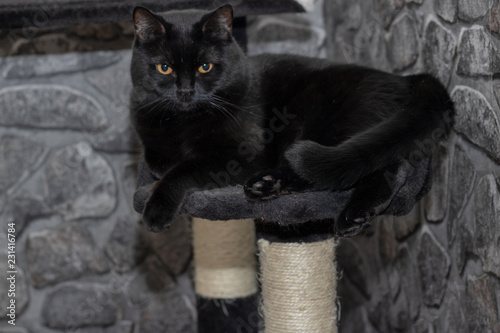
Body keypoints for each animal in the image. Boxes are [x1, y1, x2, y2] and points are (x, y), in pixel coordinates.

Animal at [129, 5, 454, 233]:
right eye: (164, 68)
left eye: (205, 67)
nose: (185, 91)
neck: (181, 123)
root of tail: (407, 79)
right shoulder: (153, 147)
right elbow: (161, 163)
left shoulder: (240, 156)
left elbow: (181, 170)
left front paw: (155, 210)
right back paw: (266, 186)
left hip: (334, 126)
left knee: (376, 165)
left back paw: (353, 215)